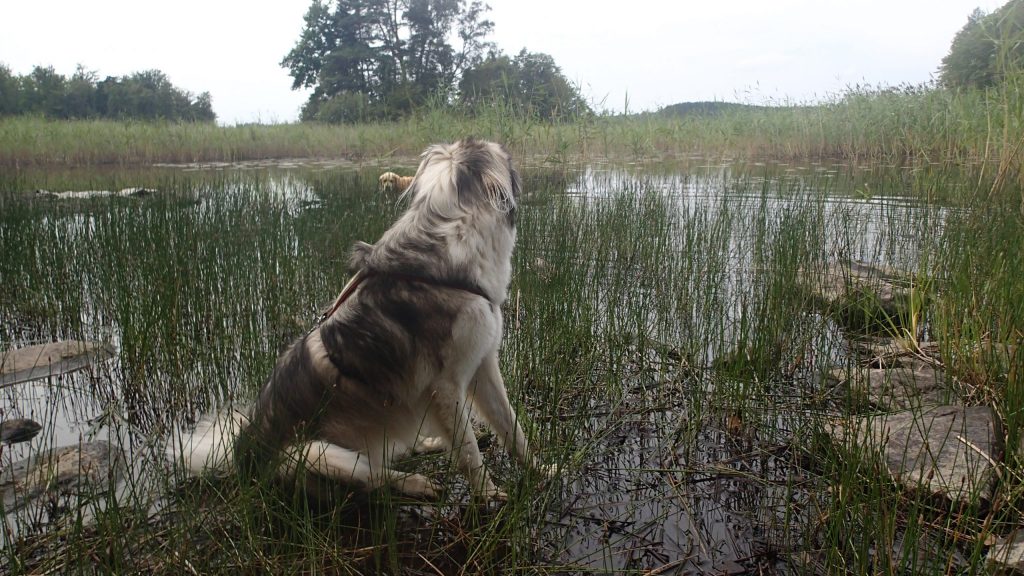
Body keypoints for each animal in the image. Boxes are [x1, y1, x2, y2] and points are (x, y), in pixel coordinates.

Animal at [172, 139, 548, 498]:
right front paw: (489, 495)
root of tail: (242, 454)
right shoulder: (445, 386)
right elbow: (469, 451)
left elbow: (511, 425)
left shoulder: (483, 363)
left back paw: (428, 443)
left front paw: (542, 470)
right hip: (313, 453)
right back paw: (416, 482)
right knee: (376, 475)